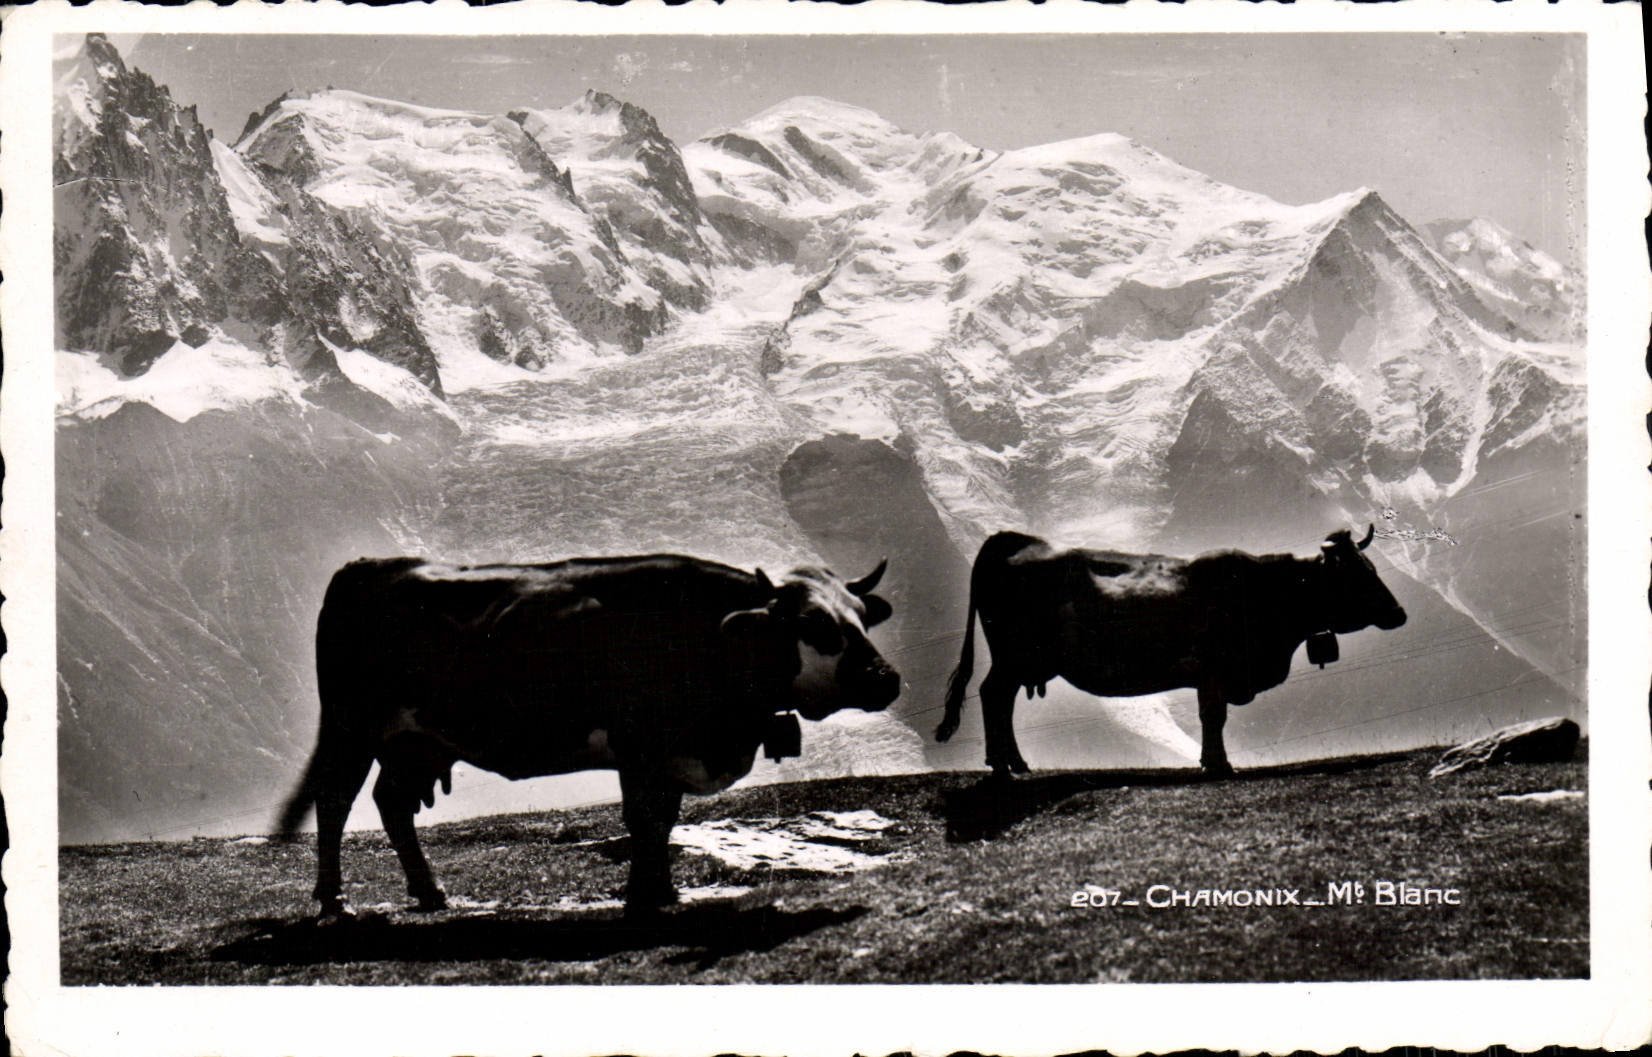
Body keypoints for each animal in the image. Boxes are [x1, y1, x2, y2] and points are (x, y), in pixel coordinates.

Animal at [277, 553, 900, 919]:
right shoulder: (639, 743)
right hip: (351, 728)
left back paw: (429, 893)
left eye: (863, 617)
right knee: (334, 801)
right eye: (815, 625)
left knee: (392, 804)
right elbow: (643, 818)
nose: (886, 678)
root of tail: (370, 565)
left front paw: (663, 890)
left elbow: (664, 820)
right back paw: (334, 900)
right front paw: (643, 895)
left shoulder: (671, 754)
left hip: (417, 742)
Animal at [934, 527, 1407, 777]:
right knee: (994, 696)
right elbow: (1213, 716)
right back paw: (1001, 764)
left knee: (1002, 701)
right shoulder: (1214, 669)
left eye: (1371, 568)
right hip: (1014, 658)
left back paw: (1015, 761)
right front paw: (1218, 765)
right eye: (1359, 574)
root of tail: (1017, 539)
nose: (1400, 613)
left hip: (1022, 662)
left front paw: (1211, 762)